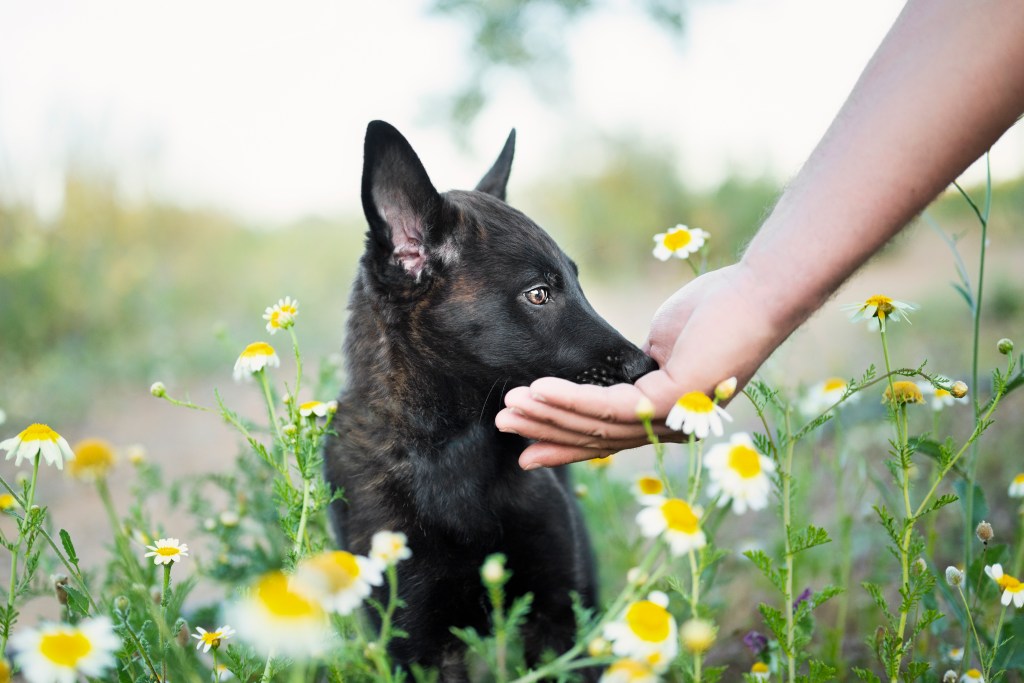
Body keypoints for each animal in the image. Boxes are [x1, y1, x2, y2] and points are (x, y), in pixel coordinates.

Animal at [325, 121, 655, 679]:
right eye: (539, 294)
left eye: (578, 281)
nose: (645, 367)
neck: (452, 450)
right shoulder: (418, 646)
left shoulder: (556, 613)